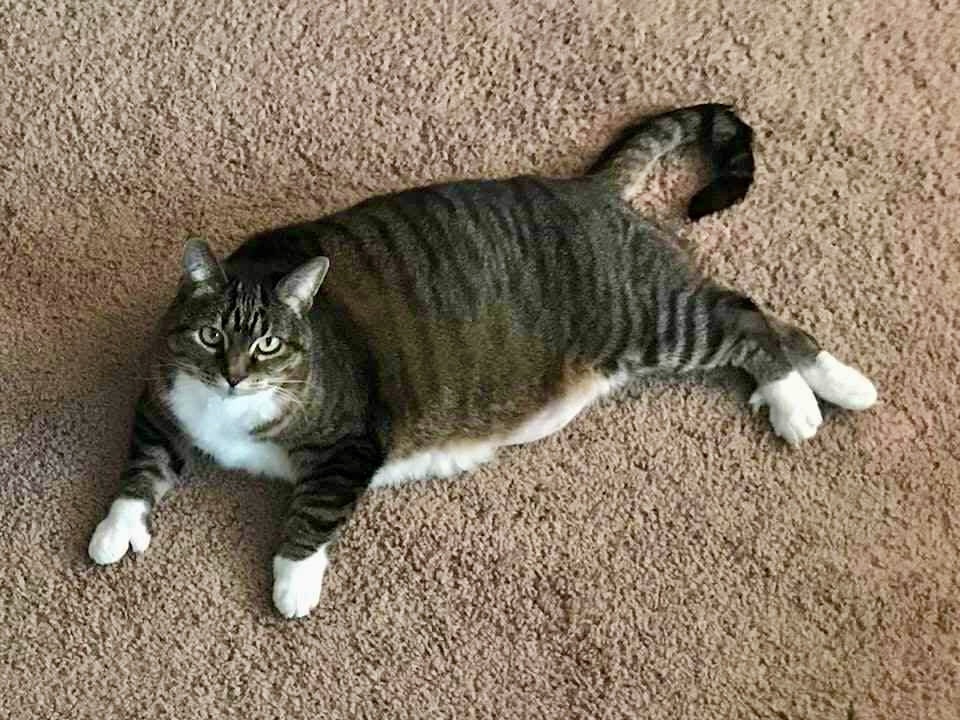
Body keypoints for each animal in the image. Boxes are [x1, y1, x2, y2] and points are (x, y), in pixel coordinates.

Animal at [89, 104, 877, 619]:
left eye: (268, 344)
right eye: (210, 337)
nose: (233, 376)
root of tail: (586, 187)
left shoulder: (354, 440)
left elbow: (314, 511)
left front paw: (293, 583)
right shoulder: (161, 397)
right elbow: (142, 462)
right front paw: (114, 530)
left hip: (651, 319)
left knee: (747, 323)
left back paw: (803, 402)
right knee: (762, 316)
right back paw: (843, 387)